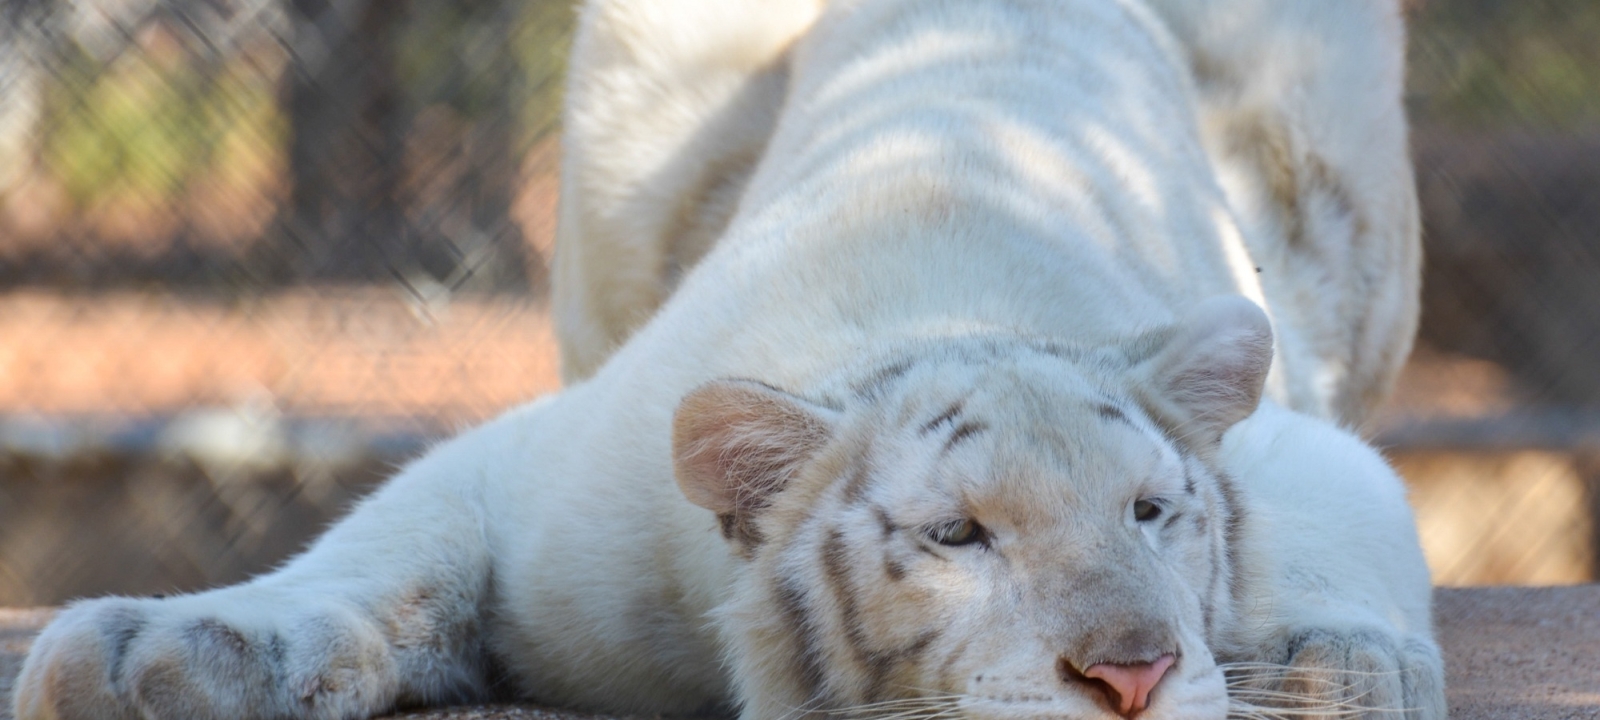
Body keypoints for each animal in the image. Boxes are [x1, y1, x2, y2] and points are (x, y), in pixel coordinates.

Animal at [12, 1, 1446, 720]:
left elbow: (1340, 527)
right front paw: (164, 657)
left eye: (1153, 513)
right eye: (958, 537)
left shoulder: (1295, 442)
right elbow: (384, 548)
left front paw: (1335, 667)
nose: (1134, 673)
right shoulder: (553, 470)